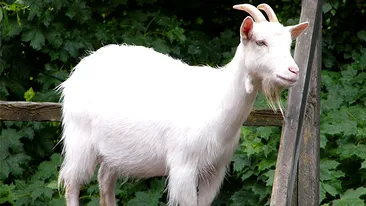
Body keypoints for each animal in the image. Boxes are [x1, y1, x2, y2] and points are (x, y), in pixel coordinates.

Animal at [57, 3, 308, 206]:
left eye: (289, 43)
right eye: (260, 41)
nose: (293, 71)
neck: (217, 101)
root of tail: (81, 67)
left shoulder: (215, 169)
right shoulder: (184, 167)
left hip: (114, 153)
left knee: (105, 181)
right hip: (80, 142)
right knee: (72, 183)